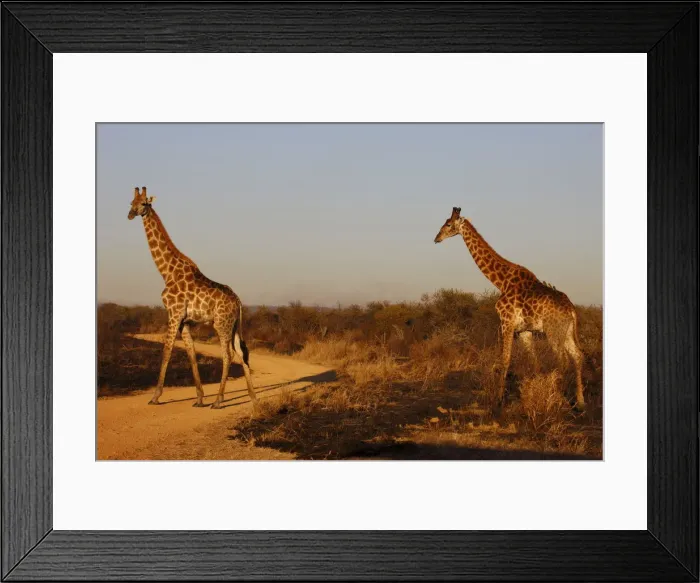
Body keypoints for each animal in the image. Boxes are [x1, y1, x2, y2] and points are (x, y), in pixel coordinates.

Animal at [128, 187, 256, 408]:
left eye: (144, 203)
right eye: (131, 202)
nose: (130, 214)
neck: (166, 272)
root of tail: (239, 302)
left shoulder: (174, 314)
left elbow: (167, 351)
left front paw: (155, 397)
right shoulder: (184, 321)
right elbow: (192, 354)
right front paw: (199, 398)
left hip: (221, 324)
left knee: (228, 354)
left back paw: (219, 401)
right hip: (233, 326)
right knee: (241, 352)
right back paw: (252, 396)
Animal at [434, 207, 585, 411]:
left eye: (449, 224)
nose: (436, 238)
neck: (501, 282)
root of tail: (571, 310)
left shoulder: (506, 322)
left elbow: (504, 361)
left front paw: (499, 401)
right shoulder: (524, 330)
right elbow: (534, 363)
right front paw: (531, 397)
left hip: (554, 331)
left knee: (563, 361)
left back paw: (561, 401)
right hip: (566, 331)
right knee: (577, 356)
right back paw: (580, 402)